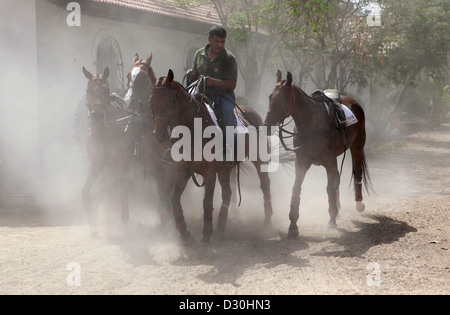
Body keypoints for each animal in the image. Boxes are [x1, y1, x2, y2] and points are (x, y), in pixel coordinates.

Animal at [81, 66, 142, 231]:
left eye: (106, 90)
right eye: (88, 90)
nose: (97, 116)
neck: (104, 135)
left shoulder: (123, 166)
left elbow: (123, 191)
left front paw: (125, 220)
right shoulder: (95, 165)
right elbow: (85, 189)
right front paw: (92, 223)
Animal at [149, 69, 272, 246]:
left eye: (170, 100)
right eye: (151, 100)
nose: (159, 135)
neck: (194, 129)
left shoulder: (210, 172)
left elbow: (207, 201)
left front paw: (206, 234)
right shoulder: (182, 170)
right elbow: (174, 198)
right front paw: (185, 233)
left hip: (259, 160)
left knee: (265, 185)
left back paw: (267, 222)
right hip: (225, 170)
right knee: (227, 193)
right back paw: (220, 227)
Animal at [262, 71, 370, 238]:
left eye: (284, 99)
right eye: (270, 97)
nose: (267, 124)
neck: (312, 126)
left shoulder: (329, 161)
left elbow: (329, 188)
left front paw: (331, 220)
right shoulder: (301, 161)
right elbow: (296, 189)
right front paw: (293, 225)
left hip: (357, 147)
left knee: (356, 173)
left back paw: (358, 204)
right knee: (337, 180)